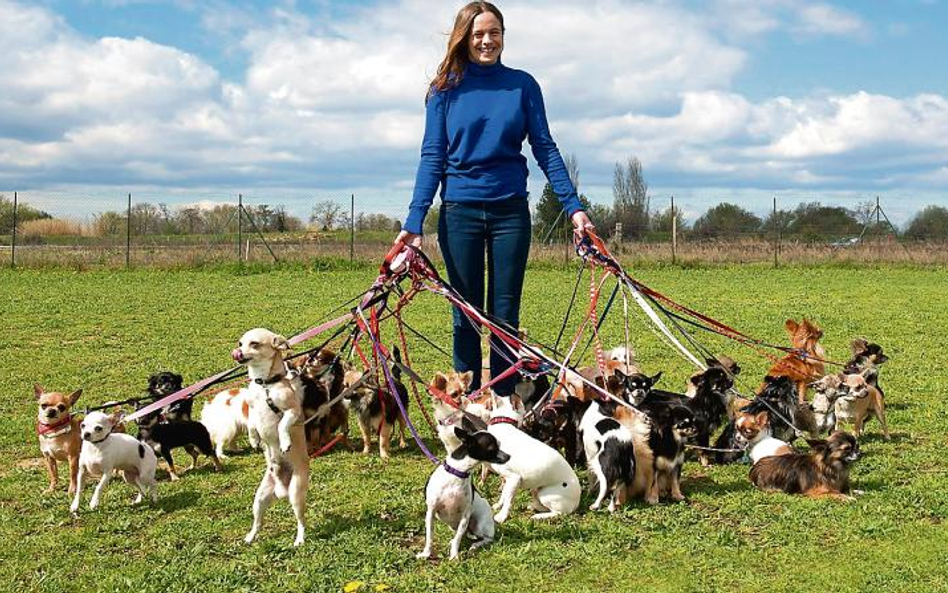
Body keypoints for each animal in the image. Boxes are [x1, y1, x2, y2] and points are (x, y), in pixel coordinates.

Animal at [416, 420, 512, 560]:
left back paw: (474, 546)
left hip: (479, 525)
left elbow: (458, 538)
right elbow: (429, 537)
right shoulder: (431, 513)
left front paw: (454, 556)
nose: (509, 456)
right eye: (492, 448)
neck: (458, 474)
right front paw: (426, 554)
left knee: (486, 538)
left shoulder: (465, 516)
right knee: (466, 534)